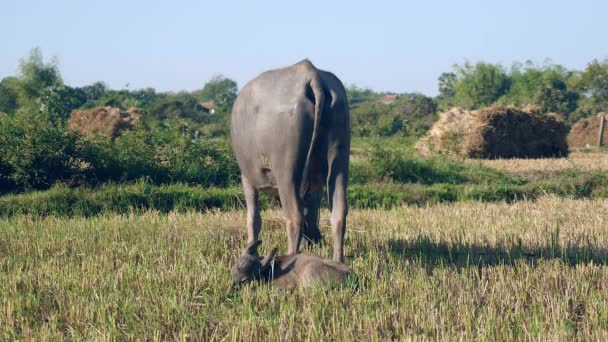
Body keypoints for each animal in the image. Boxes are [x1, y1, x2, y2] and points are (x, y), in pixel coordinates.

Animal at [230, 59, 350, 262]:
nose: (316, 239)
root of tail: (311, 74)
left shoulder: (246, 176)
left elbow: (253, 218)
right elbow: (313, 209)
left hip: (286, 168)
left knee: (294, 216)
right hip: (339, 153)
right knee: (338, 212)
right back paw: (338, 261)